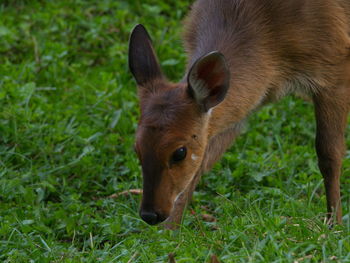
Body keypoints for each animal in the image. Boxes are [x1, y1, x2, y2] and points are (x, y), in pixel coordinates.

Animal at [128, 0, 350, 228]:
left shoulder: (335, 67)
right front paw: (170, 231)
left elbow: (329, 153)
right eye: (137, 148)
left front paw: (335, 225)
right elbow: (201, 164)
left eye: (179, 152)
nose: (150, 214)